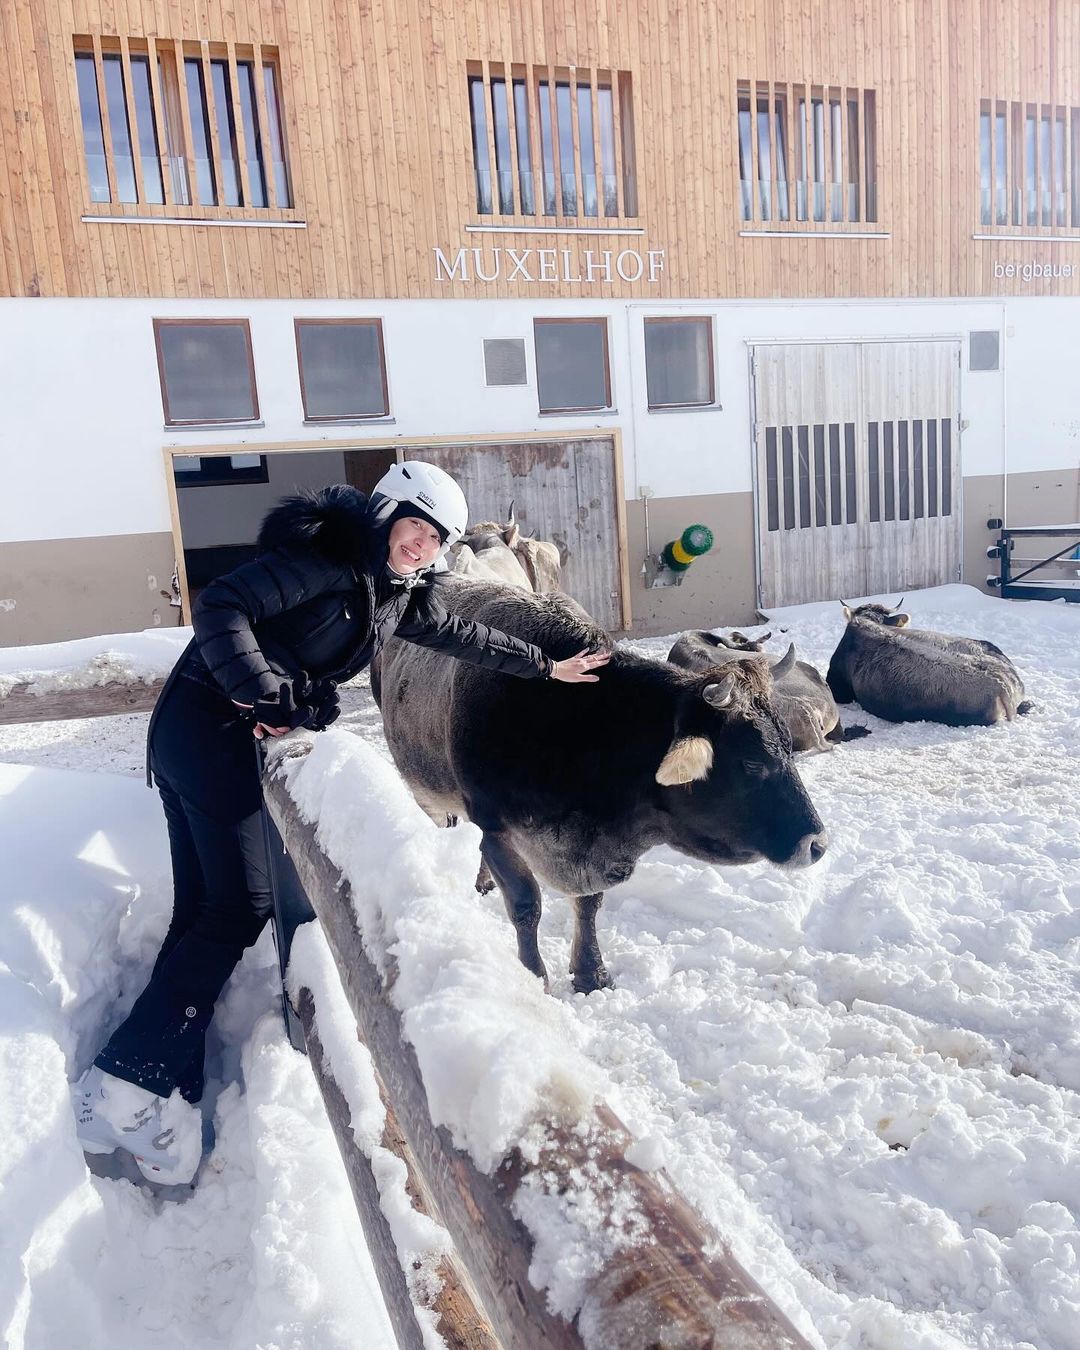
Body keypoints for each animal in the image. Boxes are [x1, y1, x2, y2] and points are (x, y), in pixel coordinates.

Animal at [372, 577, 826, 993]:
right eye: (751, 761)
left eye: (788, 745)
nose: (817, 844)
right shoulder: (498, 828)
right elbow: (525, 905)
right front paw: (533, 978)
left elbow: (589, 906)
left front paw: (591, 972)